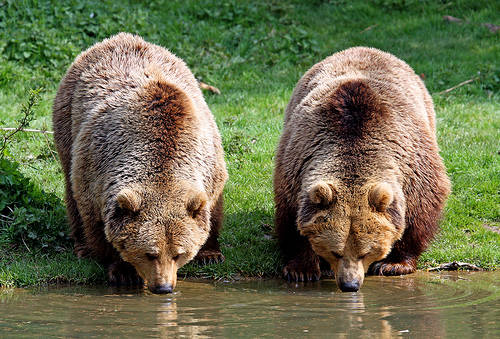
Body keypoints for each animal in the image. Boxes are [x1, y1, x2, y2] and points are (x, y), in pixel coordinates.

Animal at [52, 33, 229, 294]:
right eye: (150, 253)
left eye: (179, 253)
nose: (164, 287)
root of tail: (118, 38)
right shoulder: (96, 169)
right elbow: (97, 221)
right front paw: (123, 271)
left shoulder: (209, 164)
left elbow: (210, 211)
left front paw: (210, 253)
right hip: (68, 116)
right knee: (70, 186)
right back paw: (82, 247)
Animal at [276, 46, 452, 294]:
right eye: (336, 251)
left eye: (366, 252)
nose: (350, 284)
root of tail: (362, 48)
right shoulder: (297, 163)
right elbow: (292, 219)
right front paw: (302, 269)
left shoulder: (413, 165)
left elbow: (420, 211)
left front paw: (394, 264)